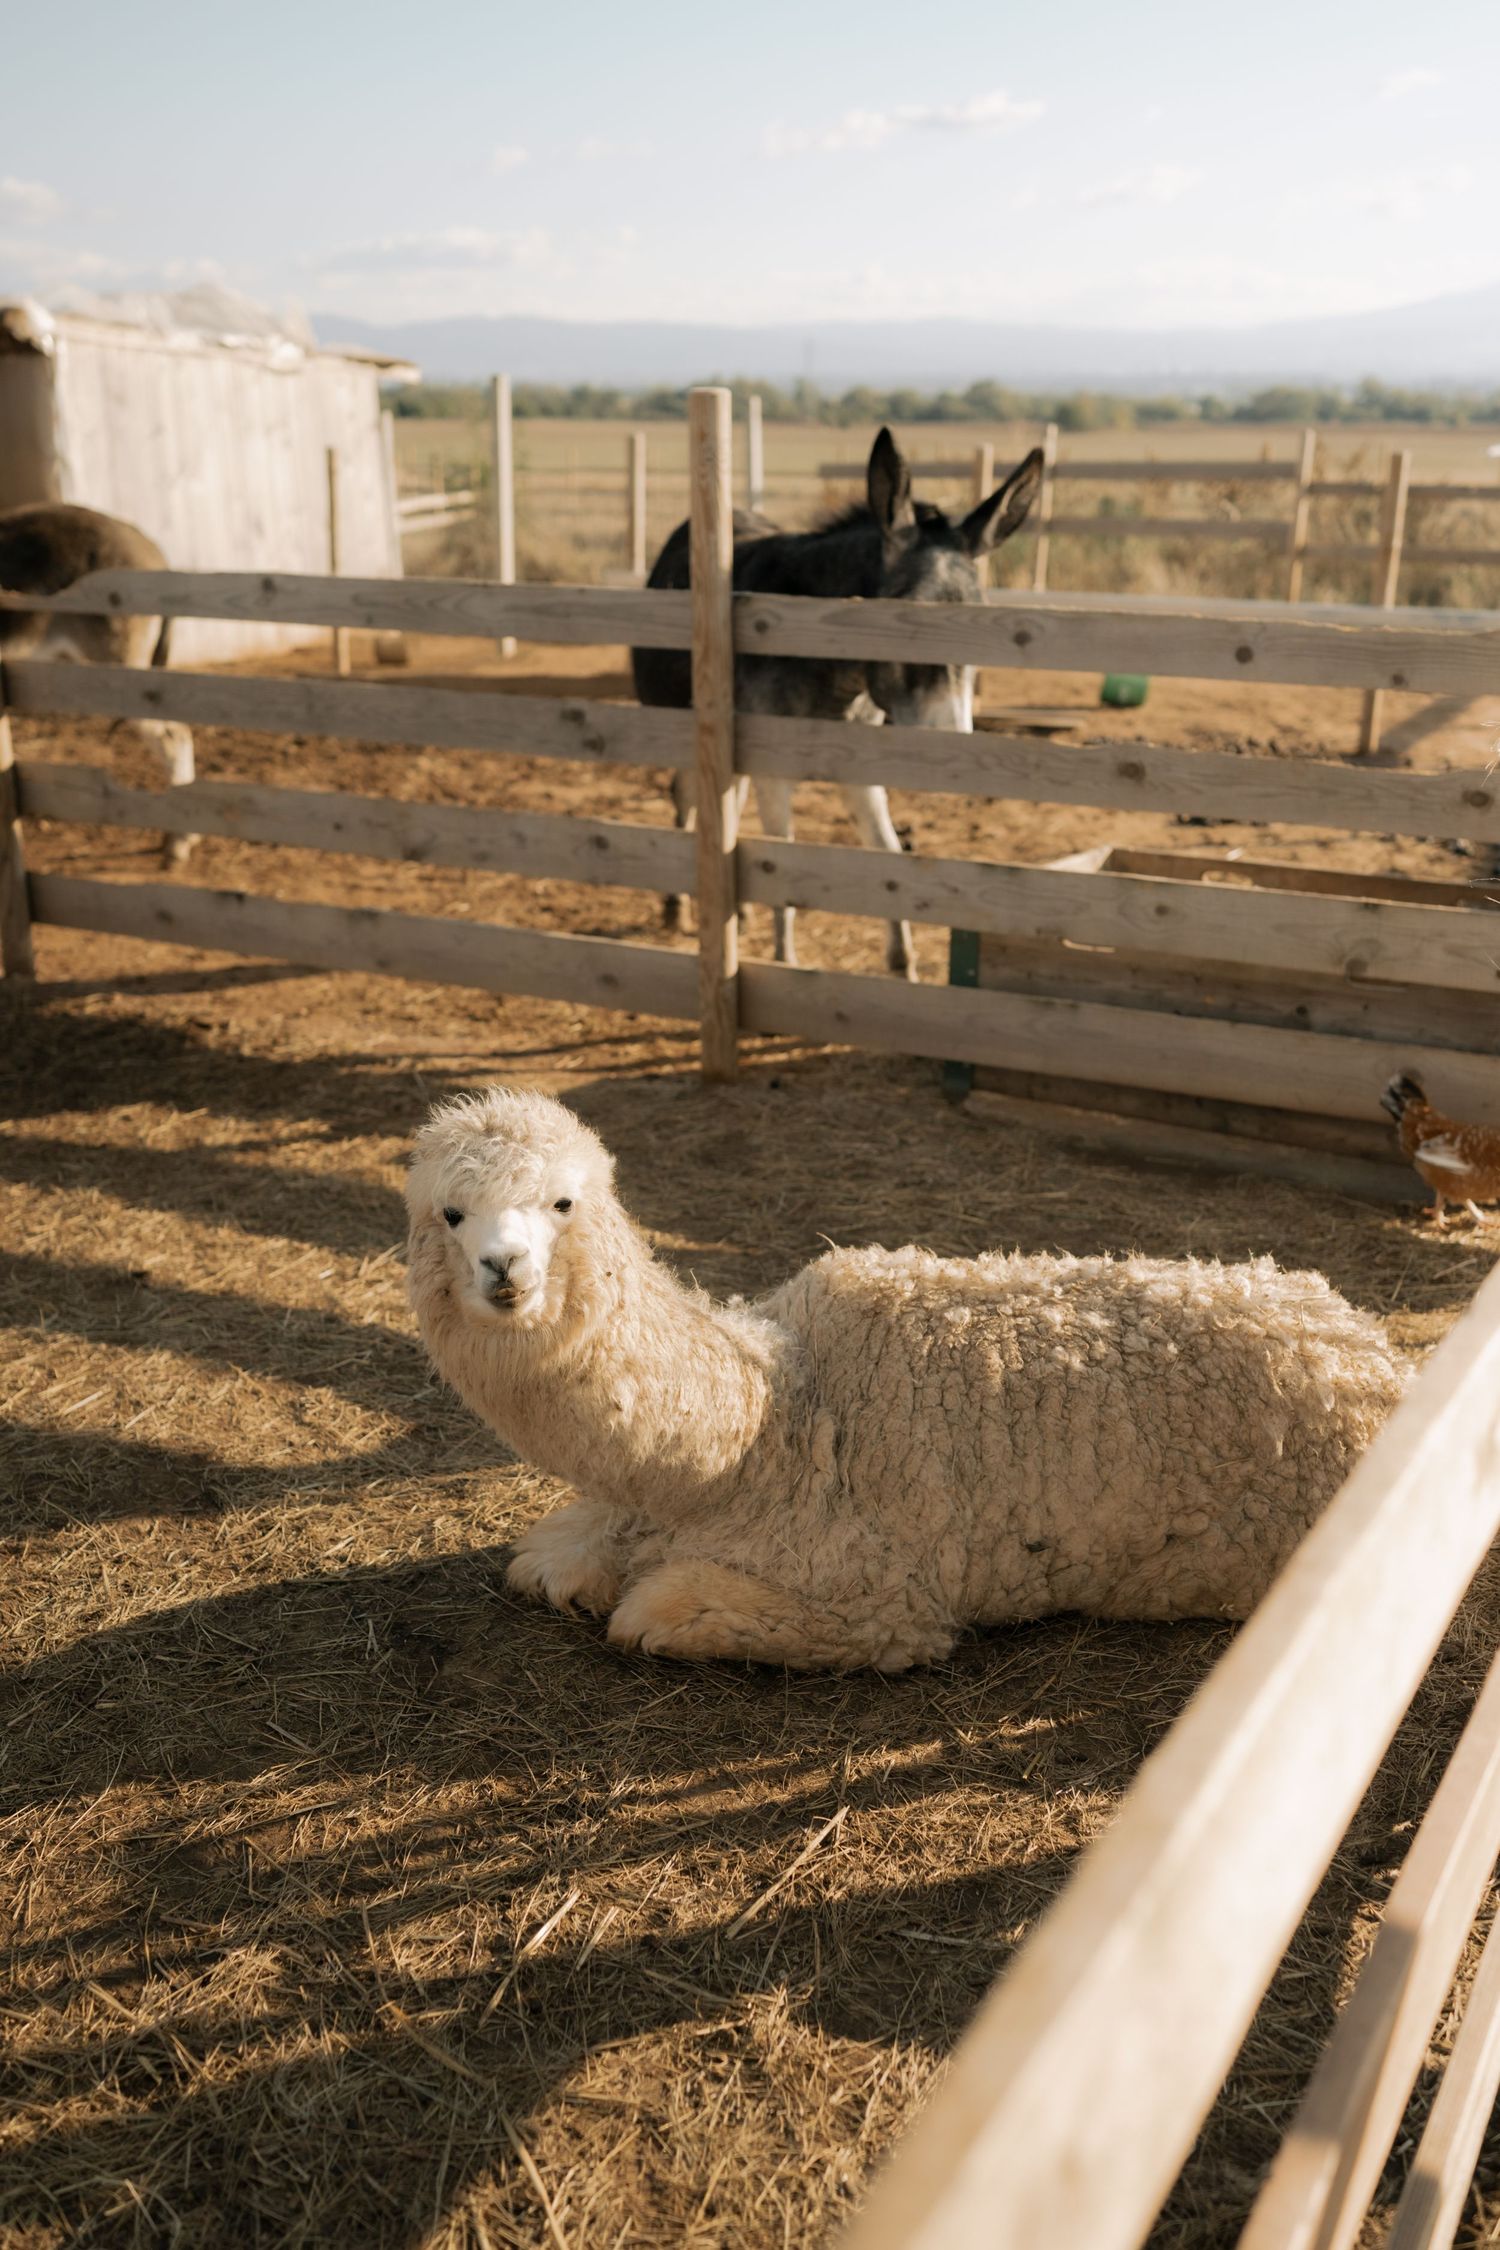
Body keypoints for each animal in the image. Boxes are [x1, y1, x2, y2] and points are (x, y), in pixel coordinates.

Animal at [405, 1087, 1406, 1673]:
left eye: (562, 1202)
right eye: (450, 1213)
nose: (504, 1271)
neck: (760, 1437)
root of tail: (1368, 1353)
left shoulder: (880, 1600)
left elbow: (653, 1609)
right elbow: (548, 1559)